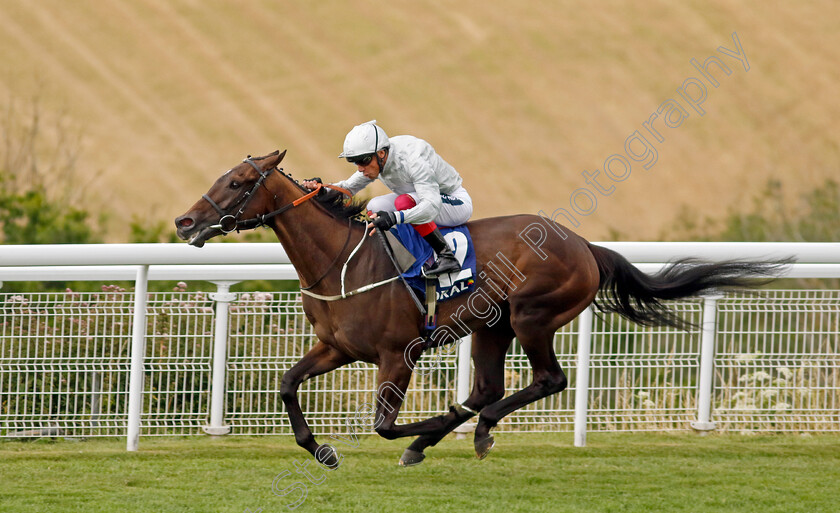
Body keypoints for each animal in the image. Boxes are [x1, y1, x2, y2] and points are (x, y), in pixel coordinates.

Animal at [174, 150, 784, 466]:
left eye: (238, 182)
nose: (184, 221)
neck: (342, 260)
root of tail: (584, 245)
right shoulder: (337, 347)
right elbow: (286, 384)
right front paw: (319, 449)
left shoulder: (398, 354)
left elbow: (383, 426)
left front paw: (424, 427)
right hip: (493, 326)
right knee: (489, 388)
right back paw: (449, 435)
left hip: (532, 316)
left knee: (545, 381)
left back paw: (467, 430)